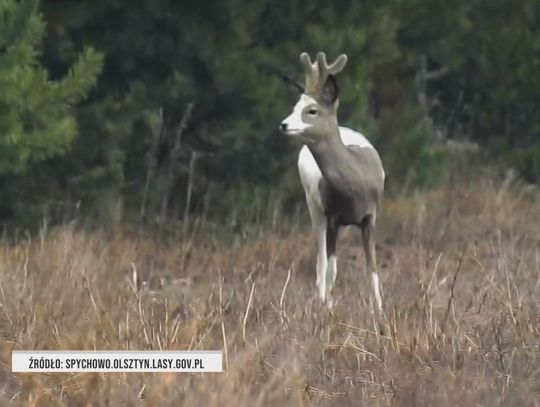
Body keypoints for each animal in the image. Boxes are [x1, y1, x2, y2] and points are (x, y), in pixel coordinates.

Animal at [278, 51, 384, 312]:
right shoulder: (332, 215)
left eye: (312, 110)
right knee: (321, 262)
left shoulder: (370, 216)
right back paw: (322, 299)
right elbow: (330, 270)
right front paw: (327, 307)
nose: (284, 124)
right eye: (294, 107)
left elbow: (372, 269)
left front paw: (379, 310)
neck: (355, 187)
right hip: (313, 206)